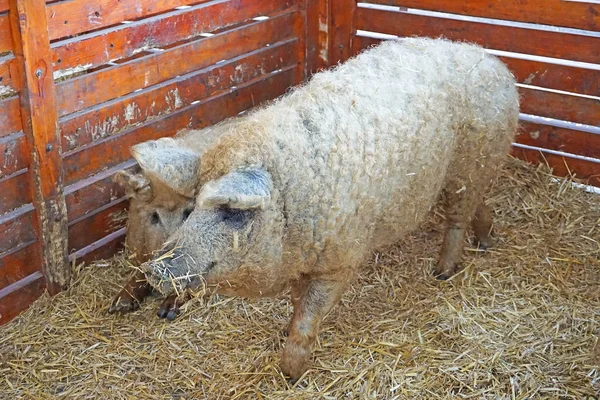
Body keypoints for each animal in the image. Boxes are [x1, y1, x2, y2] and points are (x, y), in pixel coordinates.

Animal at [134, 37, 516, 378]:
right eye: (193, 206)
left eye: (233, 212)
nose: (154, 268)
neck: (293, 205)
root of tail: (495, 63)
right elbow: (295, 304)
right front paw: (283, 334)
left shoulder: (341, 260)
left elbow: (309, 315)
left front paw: (290, 374)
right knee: (477, 204)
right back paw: (485, 241)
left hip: (471, 162)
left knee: (457, 217)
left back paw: (443, 272)